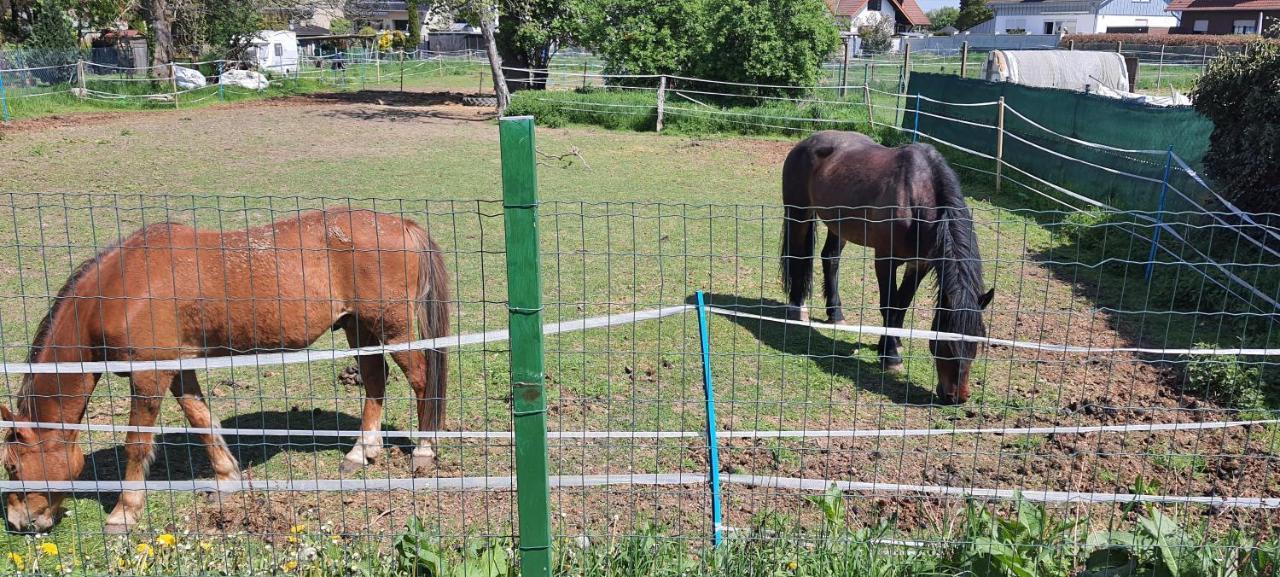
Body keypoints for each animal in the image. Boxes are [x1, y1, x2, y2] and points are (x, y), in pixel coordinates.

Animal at [1, 207, 450, 532]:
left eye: (11, 466)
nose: (19, 523)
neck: (120, 289)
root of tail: (401, 224)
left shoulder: (149, 376)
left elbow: (136, 444)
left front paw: (123, 513)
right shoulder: (178, 368)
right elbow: (201, 419)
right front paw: (227, 478)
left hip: (392, 329)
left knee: (421, 379)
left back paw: (424, 451)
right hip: (359, 327)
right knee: (375, 380)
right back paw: (361, 452)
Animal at [778, 129, 998, 406]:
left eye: (977, 340)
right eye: (947, 342)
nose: (958, 396)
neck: (916, 196)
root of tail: (806, 142)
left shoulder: (920, 264)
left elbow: (901, 304)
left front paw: (891, 344)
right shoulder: (885, 259)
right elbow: (889, 304)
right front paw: (891, 356)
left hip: (838, 223)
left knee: (830, 259)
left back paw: (836, 314)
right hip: (799, 214)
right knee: (797, 255)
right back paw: (798, 307)